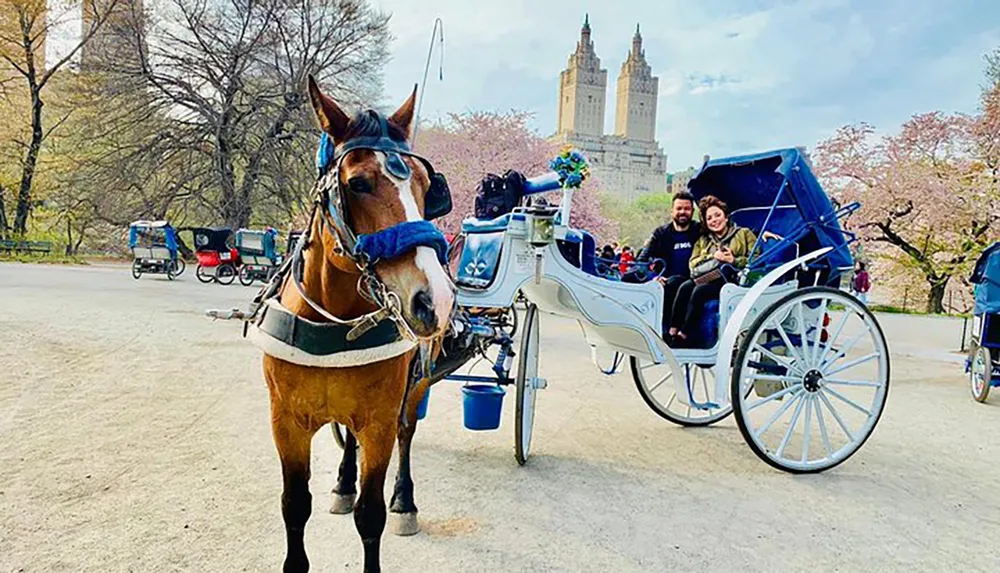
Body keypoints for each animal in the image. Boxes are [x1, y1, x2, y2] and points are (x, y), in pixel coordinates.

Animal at [264, 77, 456, 572]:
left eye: (427, 187)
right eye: (357, 183)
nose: (436, 299)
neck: (335, 325)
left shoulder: (379, 422)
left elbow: (371, 515)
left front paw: (386, 505)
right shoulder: (285, 422)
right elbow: (294, 505)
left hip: (416, 386)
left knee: (407, 434)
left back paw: (405, 501)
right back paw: (342, 483)